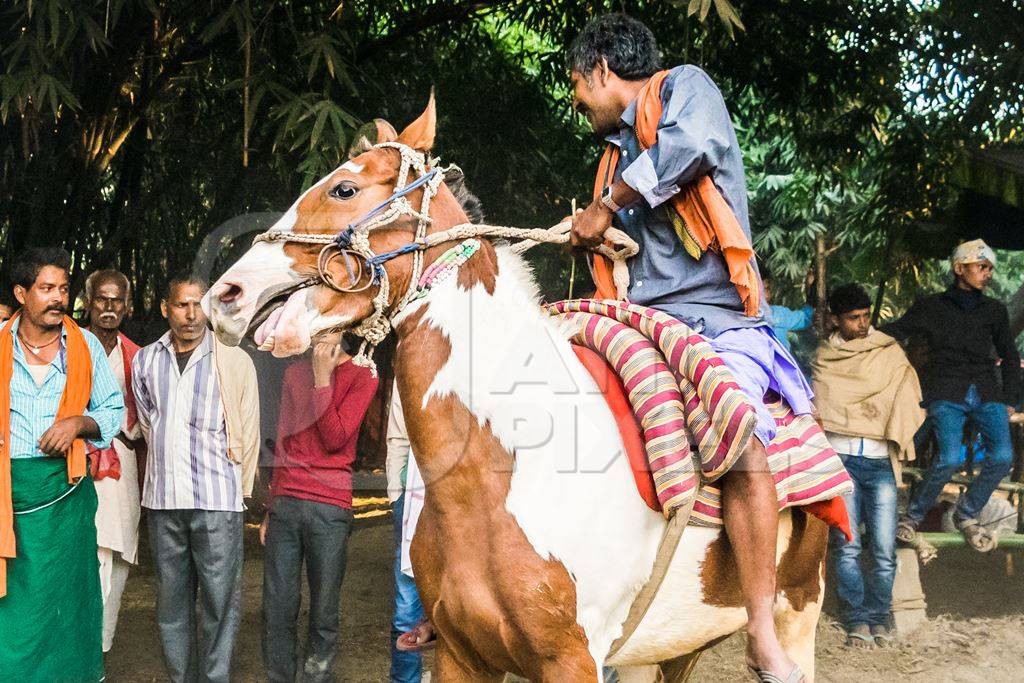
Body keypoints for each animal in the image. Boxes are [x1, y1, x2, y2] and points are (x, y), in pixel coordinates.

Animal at [203, 98, 827, 679]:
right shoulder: (461, 652)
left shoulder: (572, 659)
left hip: (798, 609)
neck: (501, 469)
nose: (225, 295)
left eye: (344, 188)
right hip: (669, 647)